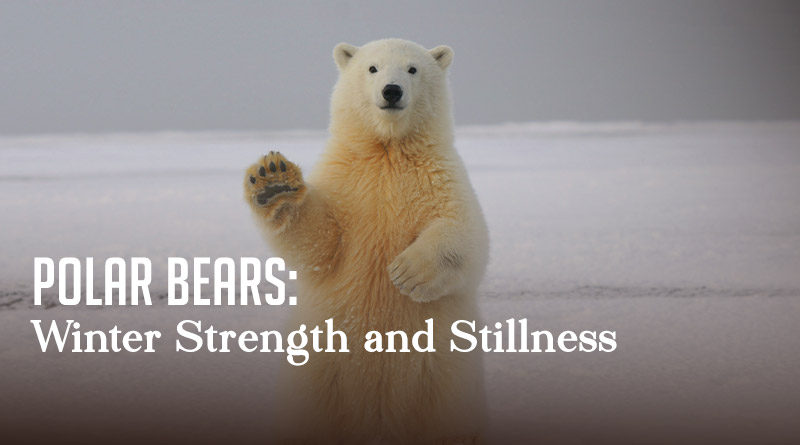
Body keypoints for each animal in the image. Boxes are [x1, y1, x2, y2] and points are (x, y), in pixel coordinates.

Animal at [243, 38, 489, 444]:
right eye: (372, 68)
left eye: (412, 69)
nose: (391, 91)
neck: (387, 150)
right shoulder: (345, 182)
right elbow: (320, 242)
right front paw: (273, 181)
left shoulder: (441, 177)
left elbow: (465, 234)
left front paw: (407, 272)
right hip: (317, 376)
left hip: (443, 379)